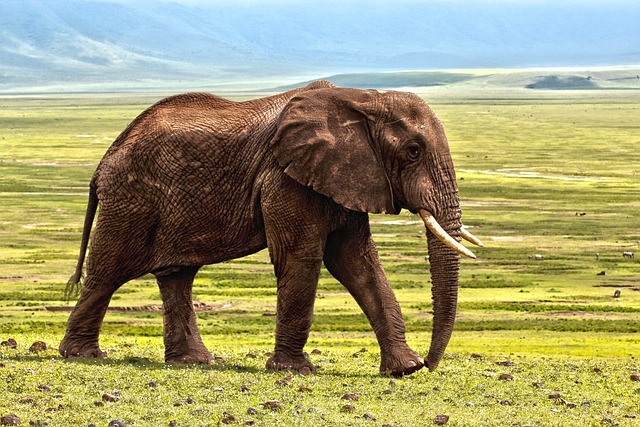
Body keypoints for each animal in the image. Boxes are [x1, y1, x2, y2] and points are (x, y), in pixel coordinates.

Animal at [60, 80, 482, 376]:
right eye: (413, 150)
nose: (430, 364)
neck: (362, 98)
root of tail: (105, 159)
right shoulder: (284, 177)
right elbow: (302, 257)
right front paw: (295, 371)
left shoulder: (345, 177)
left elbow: (357, 262)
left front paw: (403, 370)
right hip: (130, 198)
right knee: (108, 270)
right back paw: (82, 355)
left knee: (177, 276)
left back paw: (193, 362)